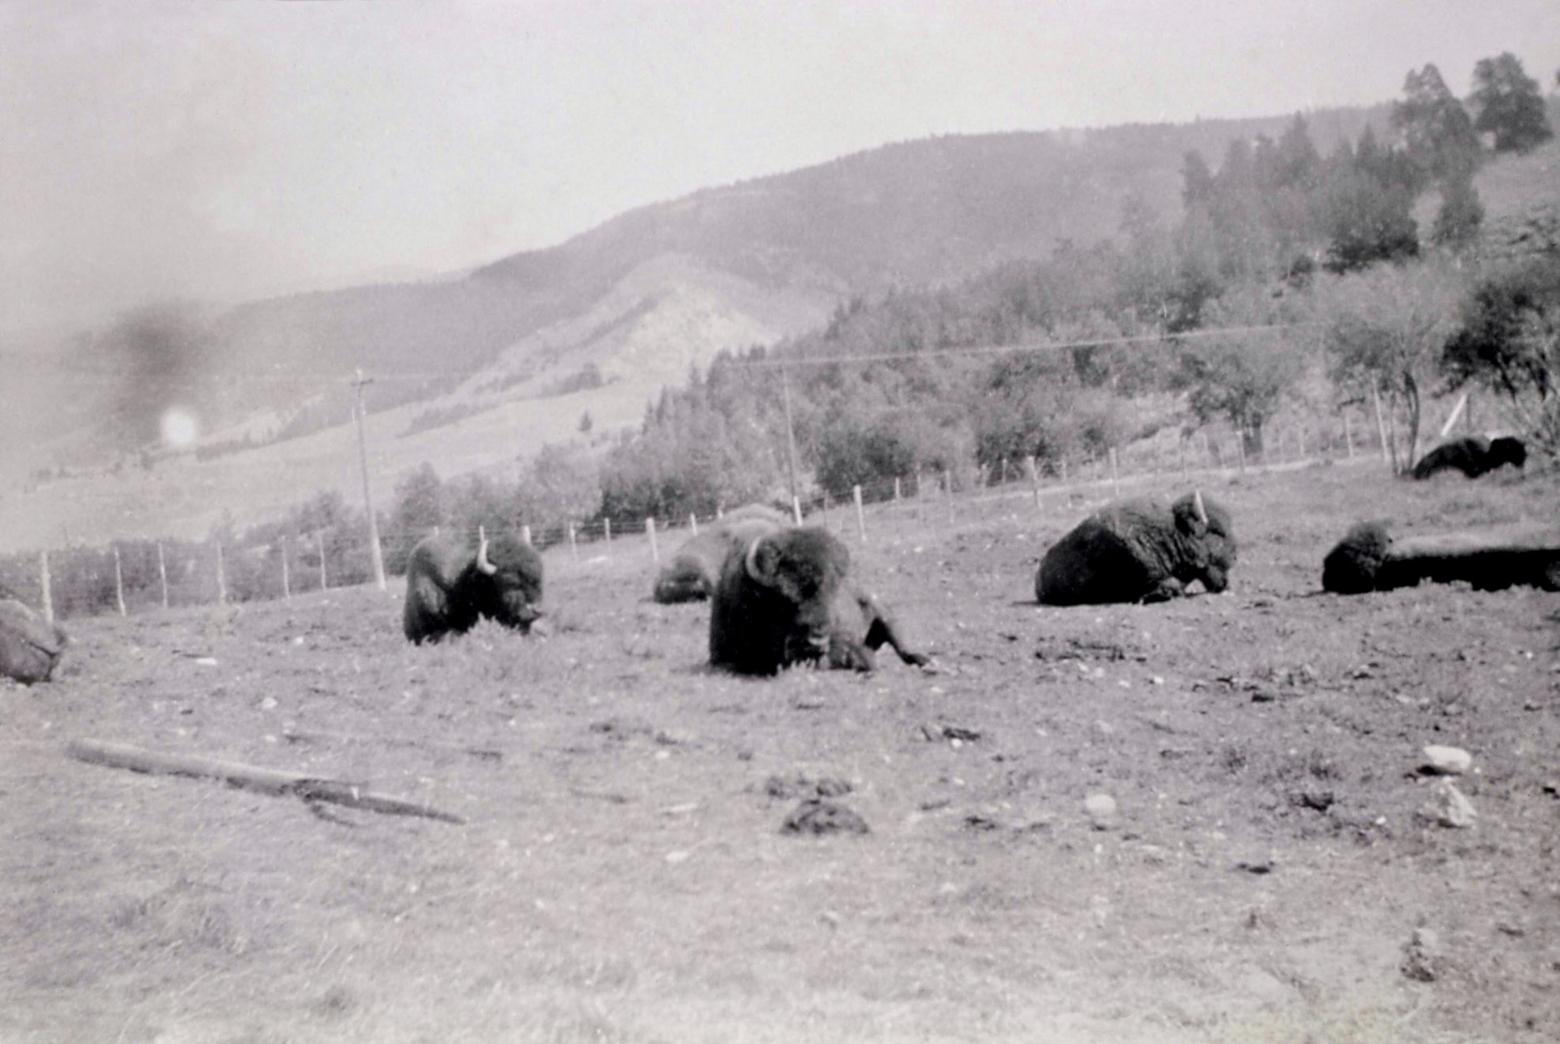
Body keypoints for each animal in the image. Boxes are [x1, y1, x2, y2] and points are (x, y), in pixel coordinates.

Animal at [714, 521, 929, 677]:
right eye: (784, 599)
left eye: (832, 592)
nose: (817, 638)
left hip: (884, 615)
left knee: (902, 647)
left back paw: (927, 662)